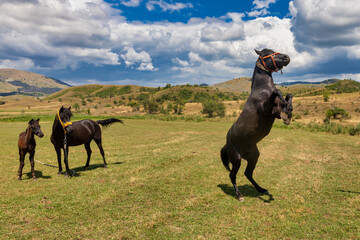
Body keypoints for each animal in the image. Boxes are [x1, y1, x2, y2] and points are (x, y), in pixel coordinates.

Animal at [221, 48, 294, 201]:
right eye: (267, 53)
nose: (287, 57)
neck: (262, 90)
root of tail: (227, 143)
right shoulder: (267, 109)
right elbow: (277, 91)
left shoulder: (276, 113)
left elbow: (289, 96)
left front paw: (288, 114)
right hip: (236, 160)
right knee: (232, 175)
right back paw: (239, 195)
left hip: (254, 157)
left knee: (248, 174)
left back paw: (262, 190)